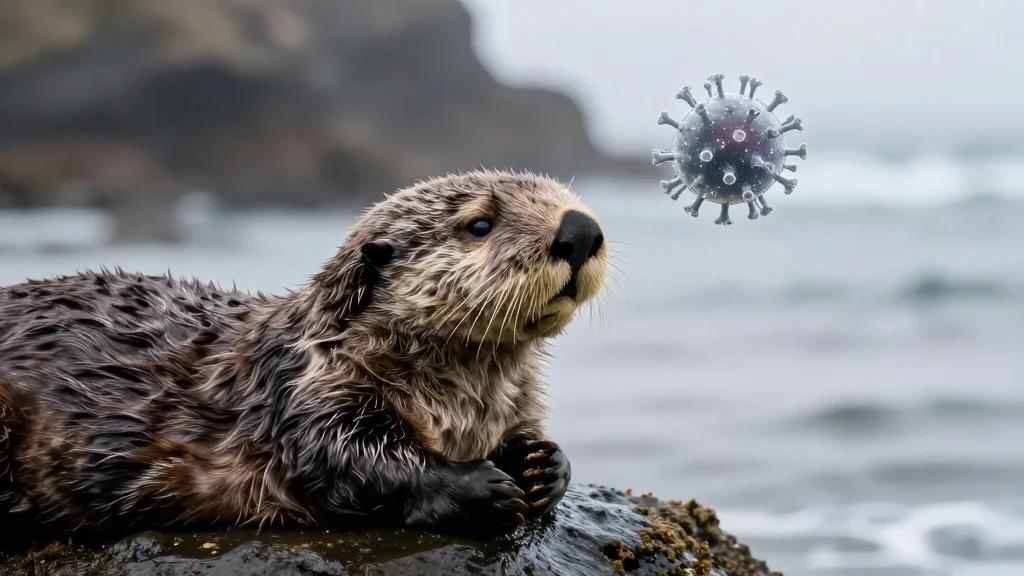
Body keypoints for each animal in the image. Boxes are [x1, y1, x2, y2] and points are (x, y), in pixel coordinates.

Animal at [0, 171, 606, 535]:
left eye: (568, 200)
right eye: (480, 224)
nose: (580, 229)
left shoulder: (514, 403)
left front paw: (545, 465)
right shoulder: (301, 391)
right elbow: (340, 455)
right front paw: (477, 487)